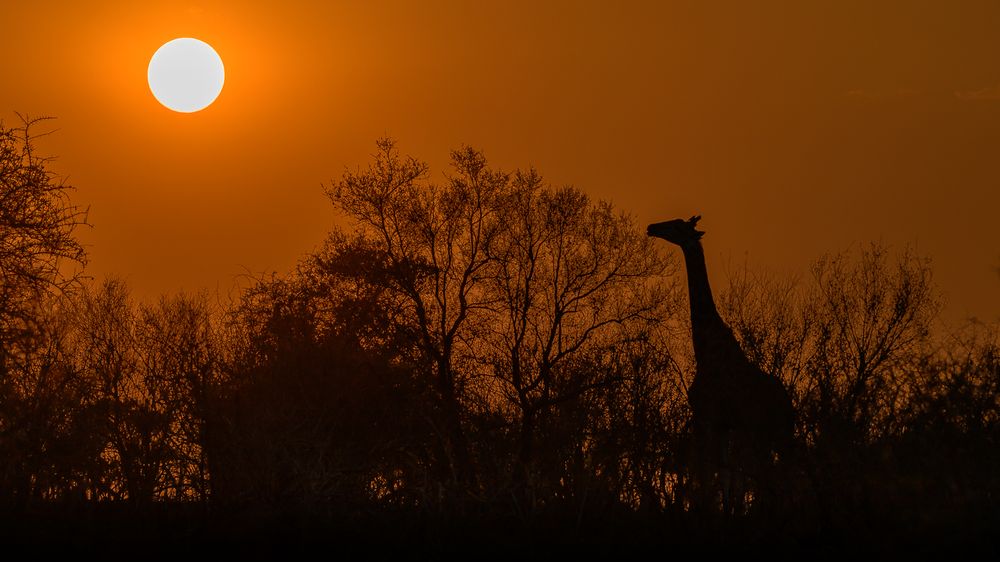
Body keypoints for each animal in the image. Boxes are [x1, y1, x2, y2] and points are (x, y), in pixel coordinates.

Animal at [647, 215, 794, 515]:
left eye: (676, 226)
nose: (652, 228)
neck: (704, 349)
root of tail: (788, 405)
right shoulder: (726, 424)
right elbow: (726, 475)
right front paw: (728, 512)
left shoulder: (706, 416)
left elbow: (708, 471)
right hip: (777, 432)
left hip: (762, 430)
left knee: (775, 475)